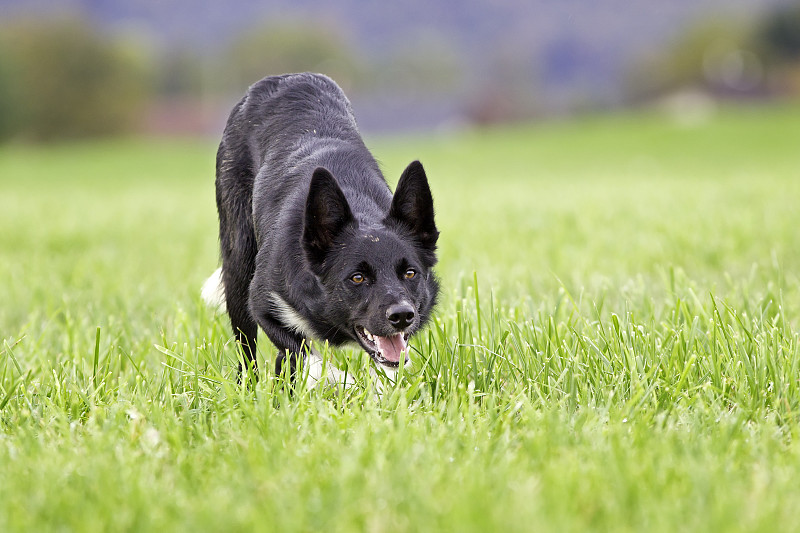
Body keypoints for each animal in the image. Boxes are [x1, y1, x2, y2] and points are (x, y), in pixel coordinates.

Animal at [200, 74, 438, 382]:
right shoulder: (263, 304)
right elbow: (307, 358)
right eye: (357, 278)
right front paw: (342, 383)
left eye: (410, 273)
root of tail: (284, 77)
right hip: (238, 267)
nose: (402, 316)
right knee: (247, 352)